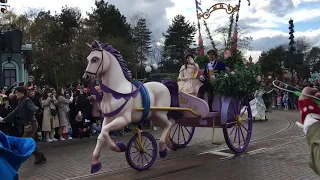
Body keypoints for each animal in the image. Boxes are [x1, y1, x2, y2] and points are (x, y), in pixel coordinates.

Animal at [82, 40, 178, 173]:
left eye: (95, 59)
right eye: (88, 58)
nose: (85, 77)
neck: (116, 92)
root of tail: (164, 84)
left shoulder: (124, 119)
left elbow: (105, 131)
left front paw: (118, 146)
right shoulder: (107, 119)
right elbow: (101, 135)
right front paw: (95, 163)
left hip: (160, 114)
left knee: (169, 124)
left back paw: (163, 149)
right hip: (154, 116)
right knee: (167, 126)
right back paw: (169, 144)